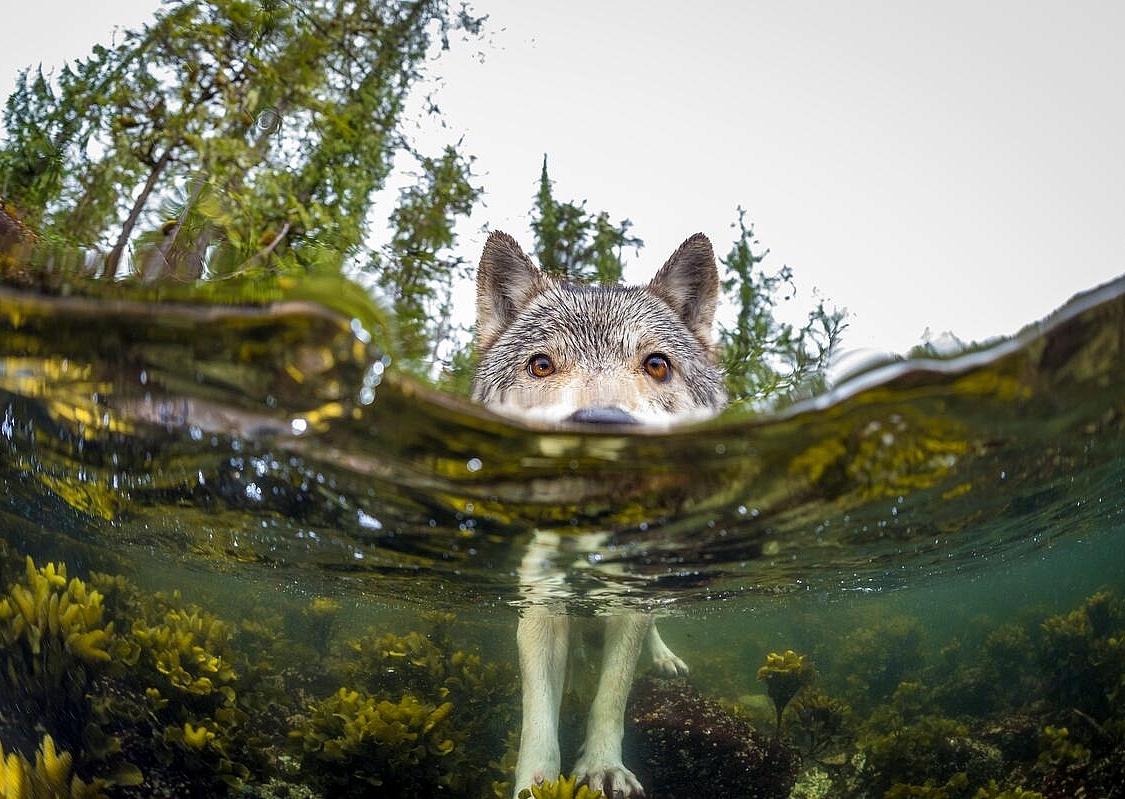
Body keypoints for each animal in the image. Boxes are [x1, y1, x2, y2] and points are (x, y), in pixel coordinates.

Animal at [471, 231, 727, 798]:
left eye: (657, 364)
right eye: (542, 365)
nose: (602, 426)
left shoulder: (629, 600)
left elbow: (611, 694)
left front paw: (603, 769)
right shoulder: (541, 604)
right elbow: (539, 716)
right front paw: (536, 784)